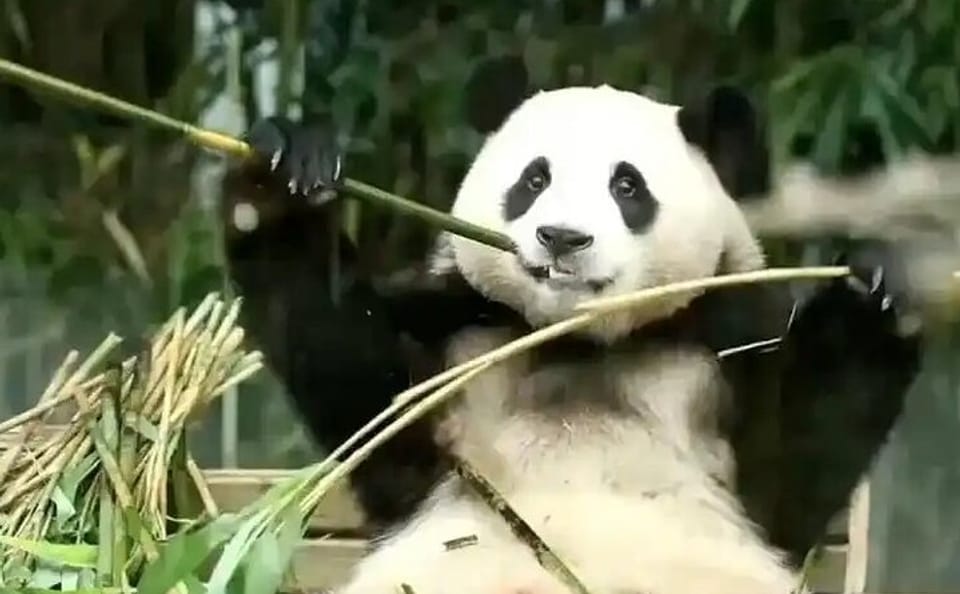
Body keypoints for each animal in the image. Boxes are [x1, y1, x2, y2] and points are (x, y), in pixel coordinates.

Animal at [220, 61, 923, 594]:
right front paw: (282, 174)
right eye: (535, 178)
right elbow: (362, 386)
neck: (578, 341)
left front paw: (880, 286)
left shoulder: (722, 348)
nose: (562, 238)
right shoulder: (458, 333)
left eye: (627, 186)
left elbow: (794, 467)